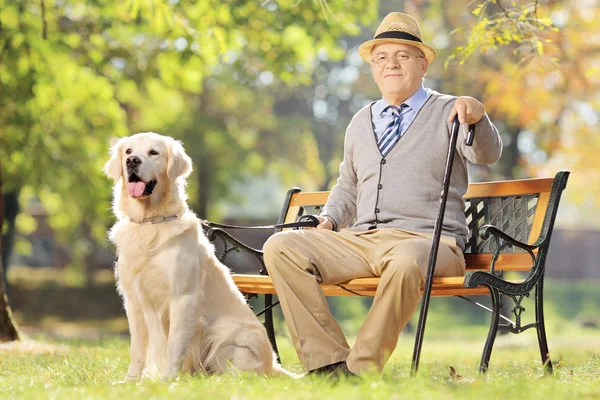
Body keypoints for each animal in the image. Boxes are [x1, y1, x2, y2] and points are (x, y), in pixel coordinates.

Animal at [103, 132, 296, 382]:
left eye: (153, 152)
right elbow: (137, 349)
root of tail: (272, 364)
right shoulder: (133, 299)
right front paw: (130, 381)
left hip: (225, 337)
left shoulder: (182, 297)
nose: (132, 161)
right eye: (128, 151)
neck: (150, 222)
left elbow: (174, 344)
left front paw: (167, 380)